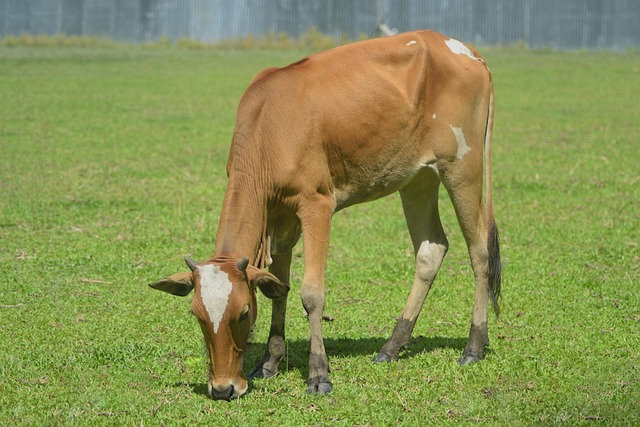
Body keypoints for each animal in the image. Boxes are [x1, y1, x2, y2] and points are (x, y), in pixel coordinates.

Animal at [150, 30, 501, 400]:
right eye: (197, 315)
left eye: (243, 313)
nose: (222, 388)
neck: (268, 128)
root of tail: (463, 49)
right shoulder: (279, 216)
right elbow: (278, 287)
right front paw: (270, 362)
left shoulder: (316, 205)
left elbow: (311, 293)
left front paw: (318, 373)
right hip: (418, 179)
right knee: (431, 250)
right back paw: (392, 345)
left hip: (462, 166)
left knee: (479, 250)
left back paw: (473, 346)